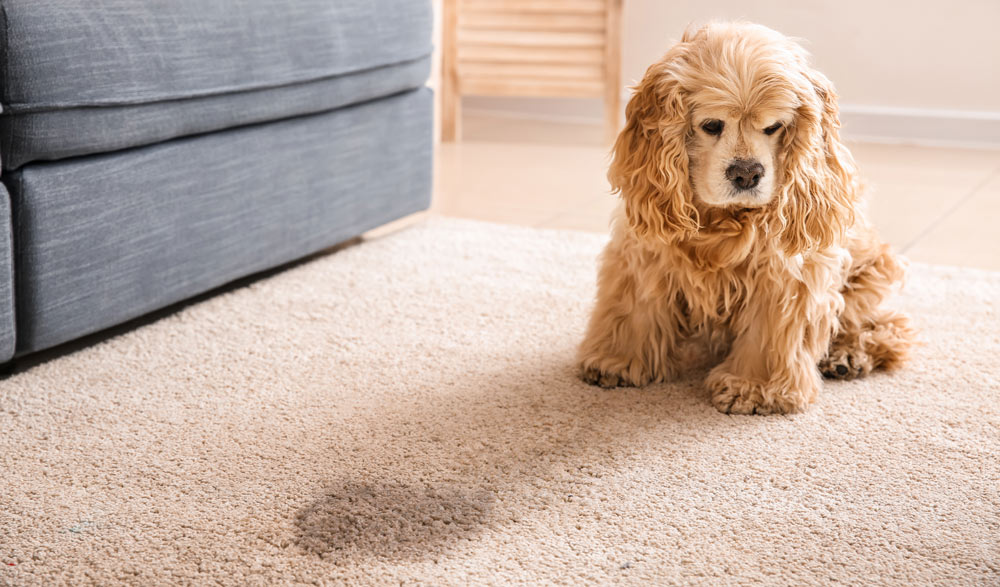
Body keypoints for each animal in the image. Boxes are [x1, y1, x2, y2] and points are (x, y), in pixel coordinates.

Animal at [580, 21, 916, 414]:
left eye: (774, 127)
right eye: (712, 125)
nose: (746, 174)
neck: (721, 220)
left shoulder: (785, 274)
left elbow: (769, 332)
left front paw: (754, 388)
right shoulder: (646, 250)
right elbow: (634, 307)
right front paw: (616, 360)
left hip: (870, 275)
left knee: (890, 326)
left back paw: (847, 356)